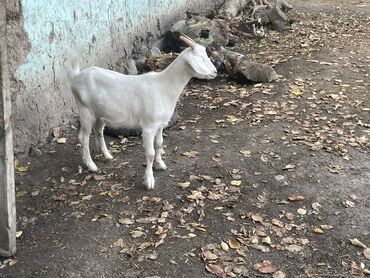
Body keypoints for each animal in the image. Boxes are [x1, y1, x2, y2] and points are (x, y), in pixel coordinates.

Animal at [67, 35, 217, 190]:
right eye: (202, 58)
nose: (215, 72)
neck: (164, 86)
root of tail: (75, 76)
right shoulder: (148, 127)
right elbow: (150, 153)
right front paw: (149, 180)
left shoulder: (160, 125)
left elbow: (159, 144)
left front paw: (160, 164)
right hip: (85, 110)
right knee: (83, 137)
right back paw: (91, 165)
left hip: (100, 113)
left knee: (98, 131)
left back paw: (107, 155)